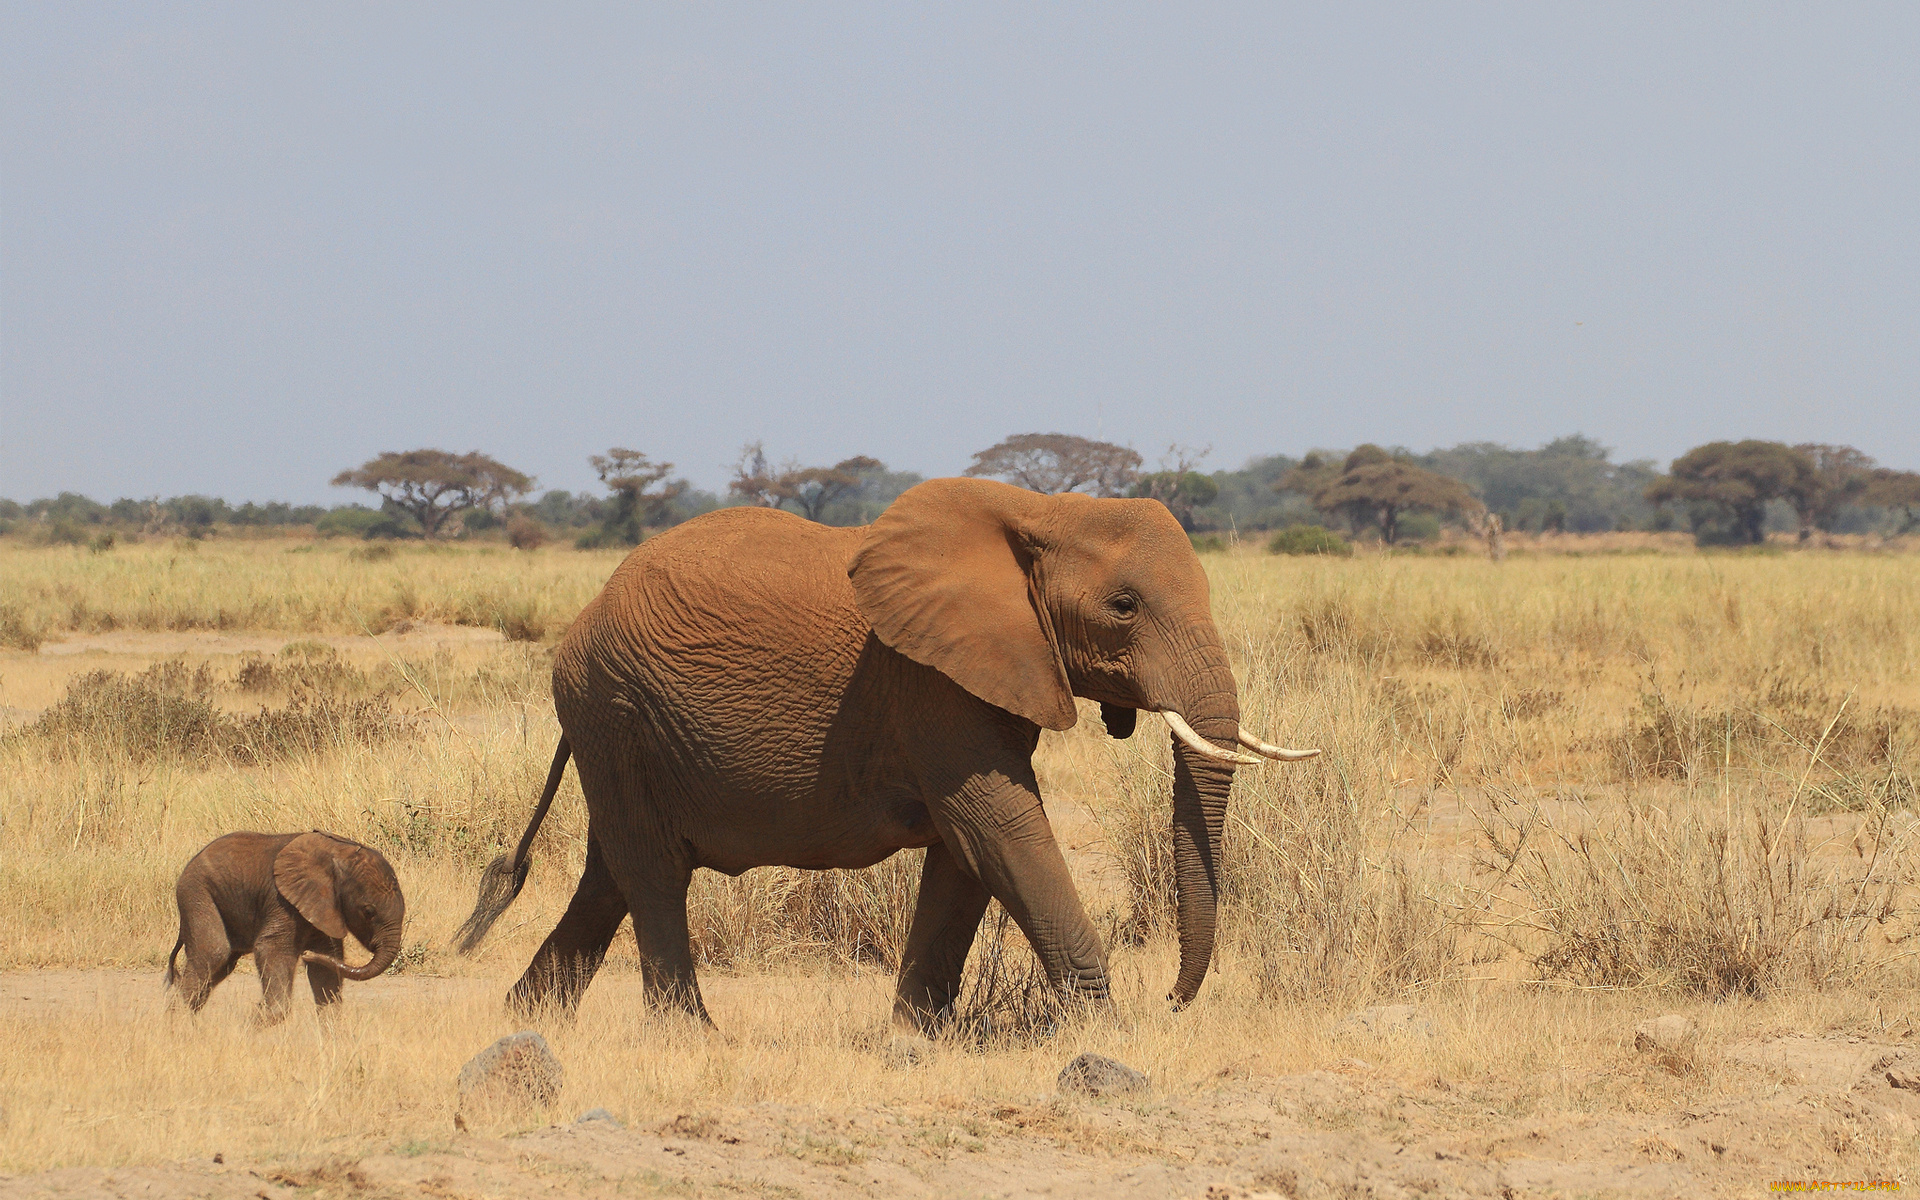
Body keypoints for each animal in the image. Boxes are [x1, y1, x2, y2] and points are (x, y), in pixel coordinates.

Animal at [166, 833, 405, 1021]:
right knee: (214, 952)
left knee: (223, 963)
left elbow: (326, 963)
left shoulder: (323, 908)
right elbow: (271, 949)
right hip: (197, 892)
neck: (339, 853)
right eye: (368, 912)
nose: (306, 954)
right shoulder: (282, 901)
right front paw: (254, 1021)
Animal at [456, 478, 1313, 1029]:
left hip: (623, 729)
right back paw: (690, 1040)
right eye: (1124, 606)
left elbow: (968, 852)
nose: (1171, 999)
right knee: (652, 870)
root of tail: (584, 617)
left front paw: (912, 1039)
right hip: (616, 710)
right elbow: (1001, 825)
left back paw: (526, 1019)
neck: (1040, 511)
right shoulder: (929, 679)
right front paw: (1107, 1035)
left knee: (612, 873)